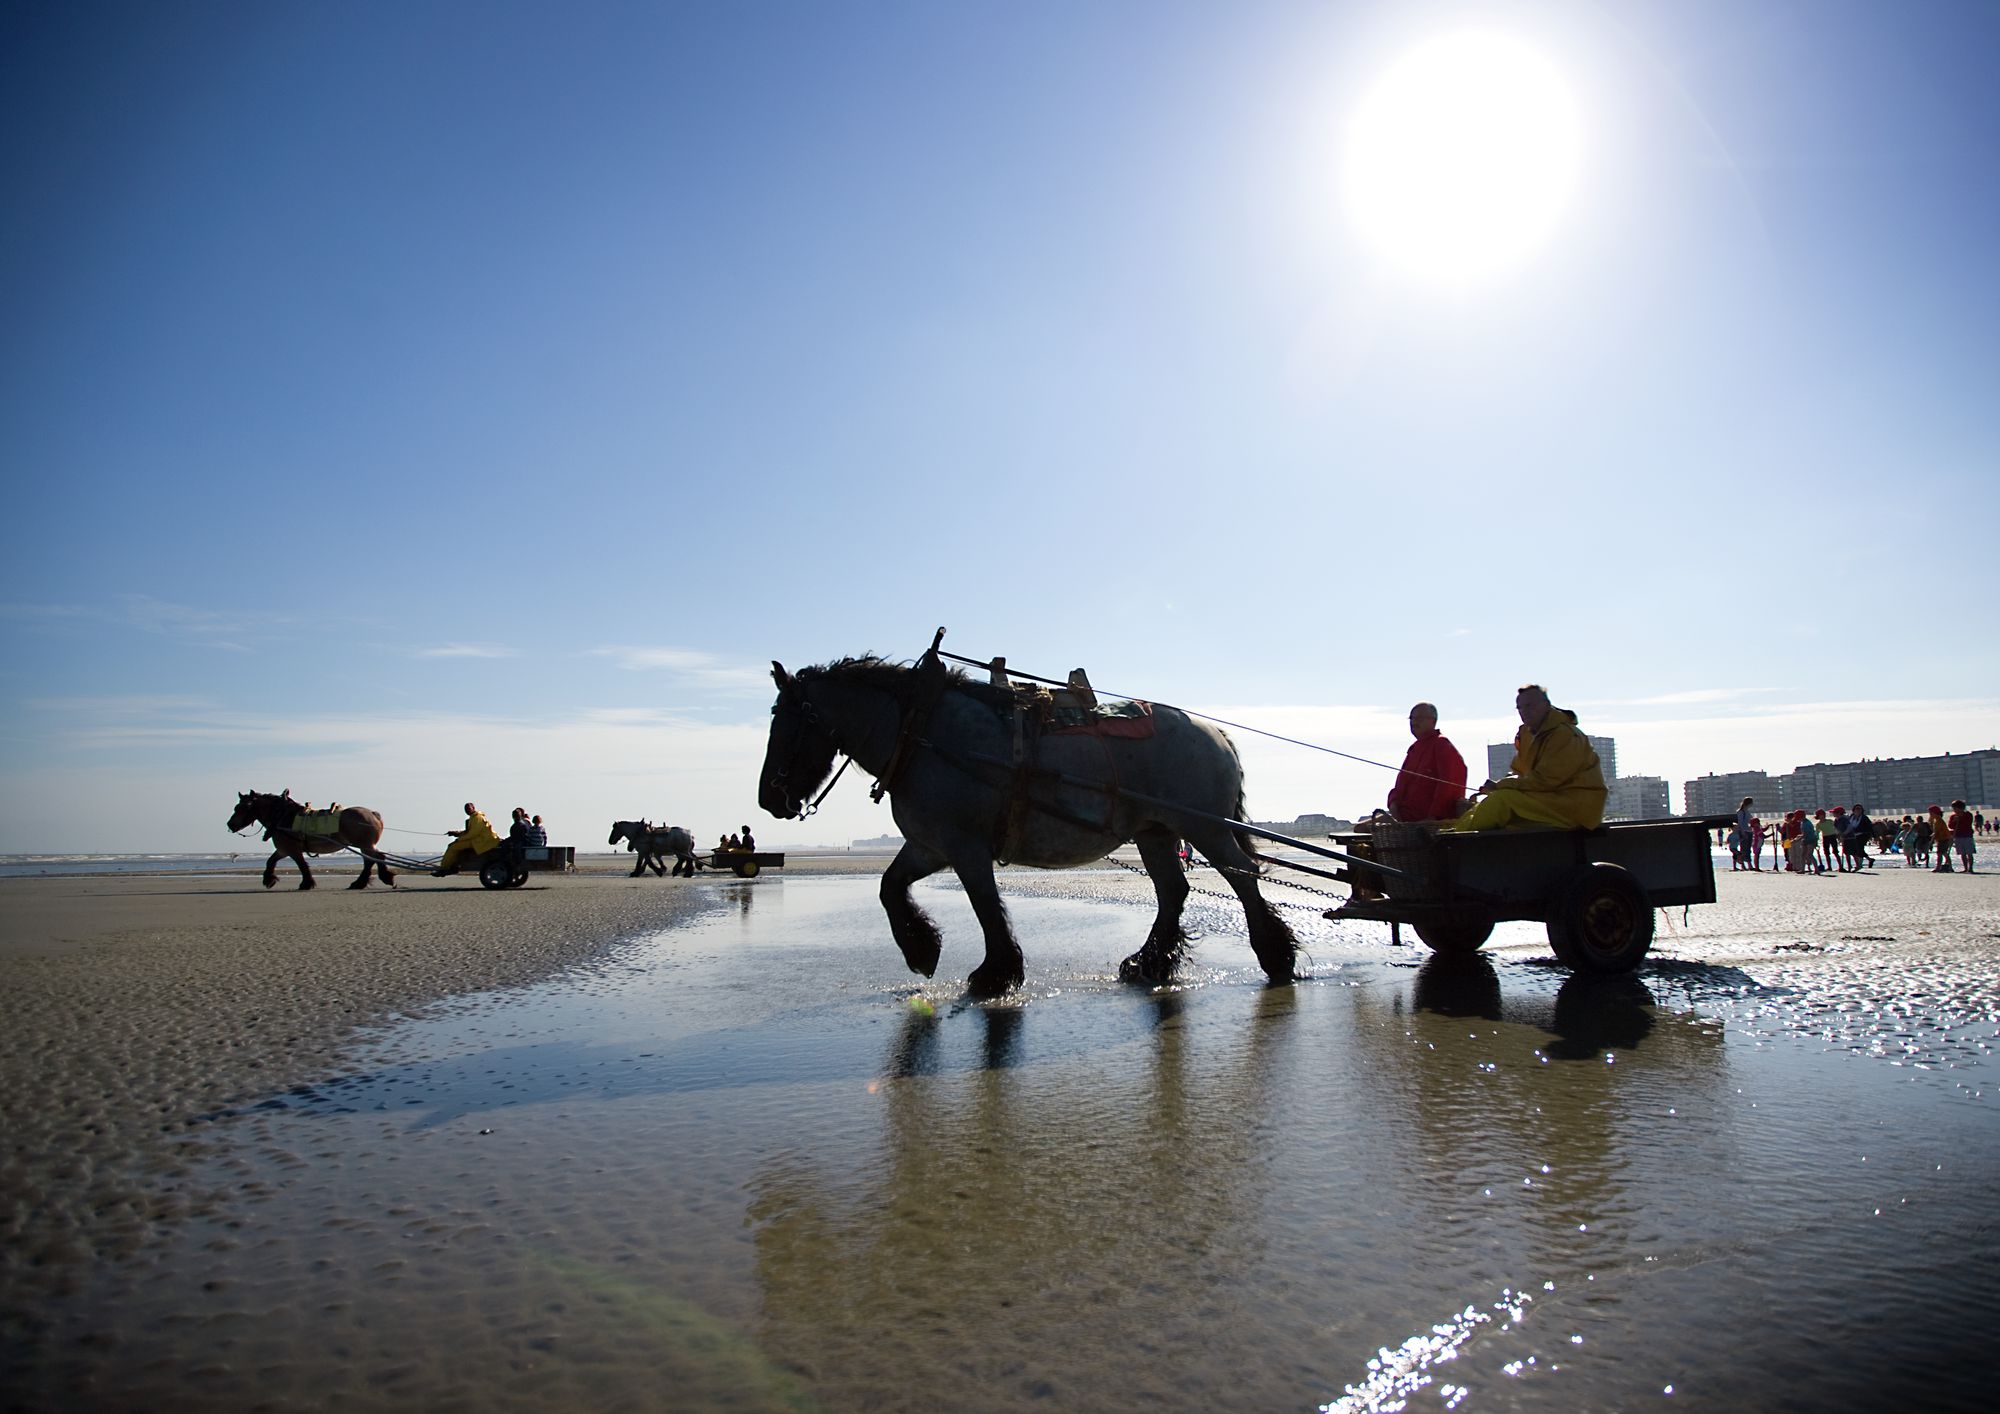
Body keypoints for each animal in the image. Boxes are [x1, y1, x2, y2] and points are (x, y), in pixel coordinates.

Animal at [226, 792, 394, 892]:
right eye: (236, 807)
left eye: (244, 807)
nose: (230, 825)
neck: (283, 816)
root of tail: (372, 813)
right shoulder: (283, 849)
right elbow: (271, 861)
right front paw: (269, 879)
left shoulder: (292, 849)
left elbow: (302, 865)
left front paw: (306, 883)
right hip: (363, 844)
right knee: (371, 860)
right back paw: (361, 882)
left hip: (364, 844)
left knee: (375, 858)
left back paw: (378, 879)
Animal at [756, 652, 1304, 996]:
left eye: (785, 721)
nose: (768, 799)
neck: (921, 732)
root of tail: (1217, 734)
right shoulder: (930, 844)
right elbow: (890, 887)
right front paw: (922, 949)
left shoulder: (965, 846)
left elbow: (986, 907)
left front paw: (995, 973)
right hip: (1155, 831)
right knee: (1173, 890)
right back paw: (1148, 963)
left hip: (1204, 827)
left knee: (1241, 879)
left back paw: (1275, 957)